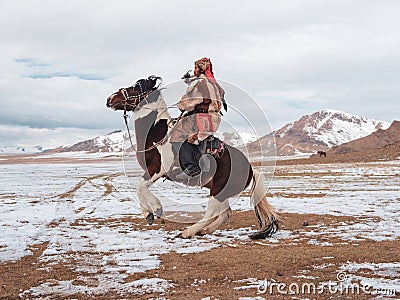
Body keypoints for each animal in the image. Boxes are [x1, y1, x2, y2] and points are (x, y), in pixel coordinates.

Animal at [105, 75, 278, 239]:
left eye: (135, 87)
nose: (110, 99)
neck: (158, 133)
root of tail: (250, 169)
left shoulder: (157, 170)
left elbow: (140, 186)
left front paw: (156, 209)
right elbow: (139, 188)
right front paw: (148, 214)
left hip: (218, 191)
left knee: (212, 213)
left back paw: (187, 232)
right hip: (222, 192)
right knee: (225, 213)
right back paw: (203, 231)